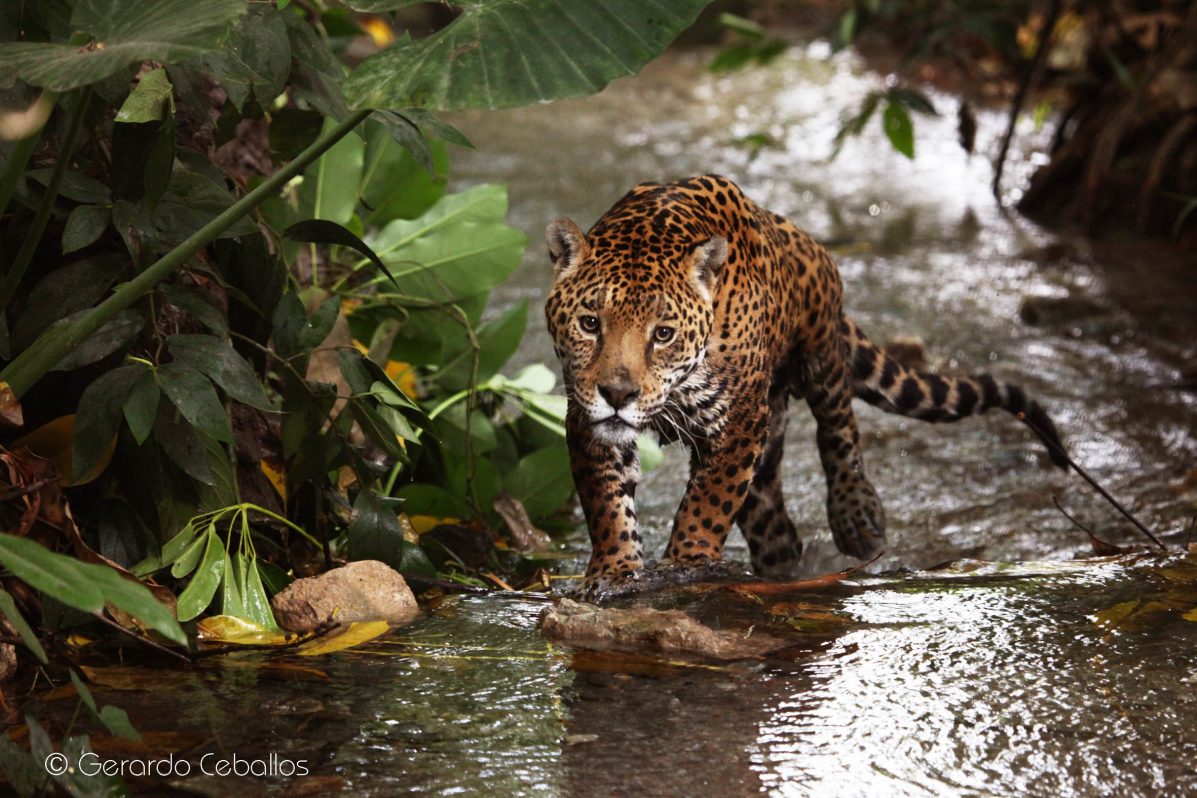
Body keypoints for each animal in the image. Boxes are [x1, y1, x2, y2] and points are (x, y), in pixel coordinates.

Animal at [544, 174, 1067, 598]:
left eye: (663, 334)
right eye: (590, 324)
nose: (617, 395)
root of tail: (795, 236)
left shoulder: (738, 422)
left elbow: (708, 503)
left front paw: (685, 564)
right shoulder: (587, 418)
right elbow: (606, 504)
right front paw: (614, 573)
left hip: (820, 357)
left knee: (838, 428)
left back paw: (856, 518)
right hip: (768, 439)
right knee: (773, 522)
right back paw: (779, 567)